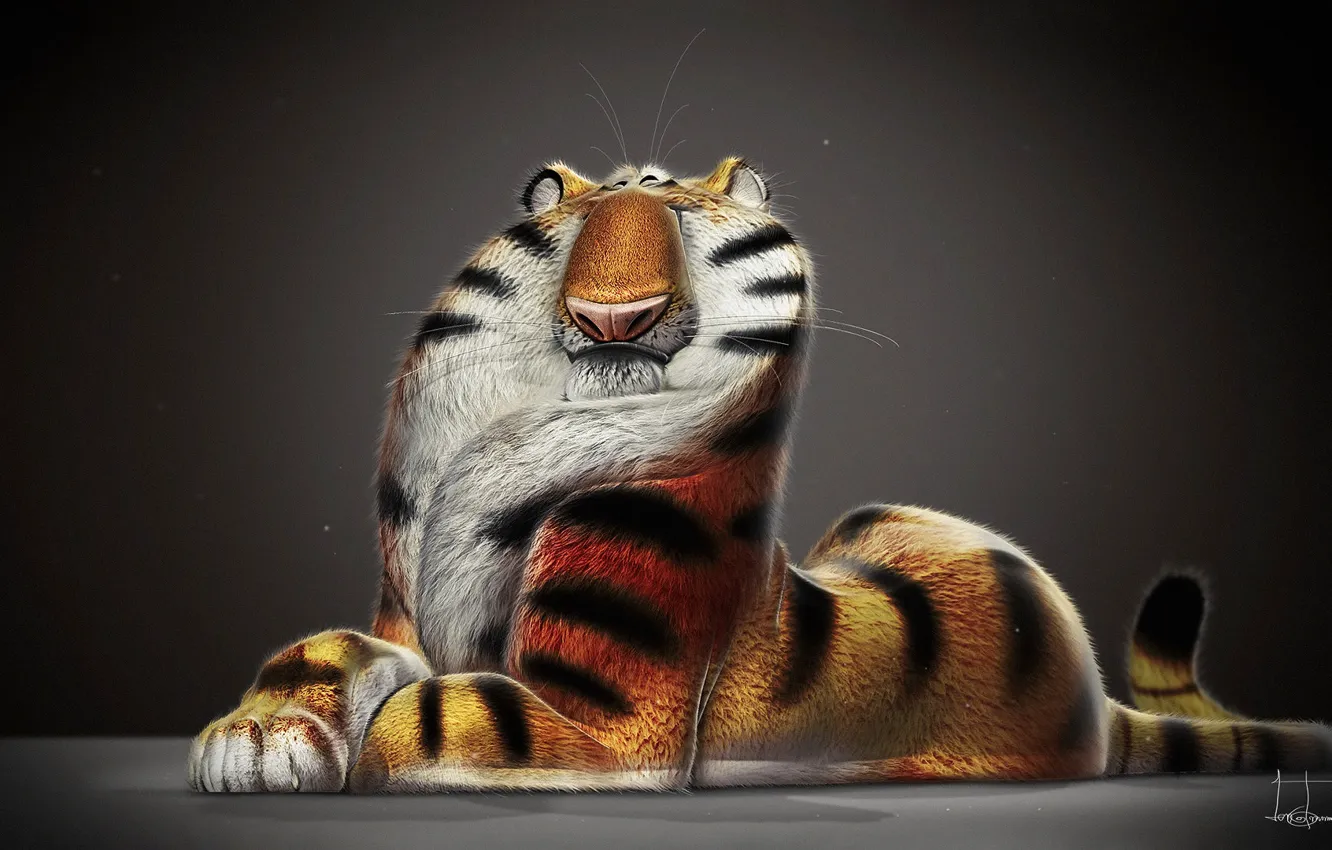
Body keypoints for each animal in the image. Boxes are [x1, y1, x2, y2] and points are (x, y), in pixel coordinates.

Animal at [188, 156, 1331, 793]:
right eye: (564, 221)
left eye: (683, 223)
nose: (616, 318)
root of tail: (1090, 683)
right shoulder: (400, 609)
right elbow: (334, 645)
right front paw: (254, 736)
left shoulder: (612, 727)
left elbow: (423, 714)